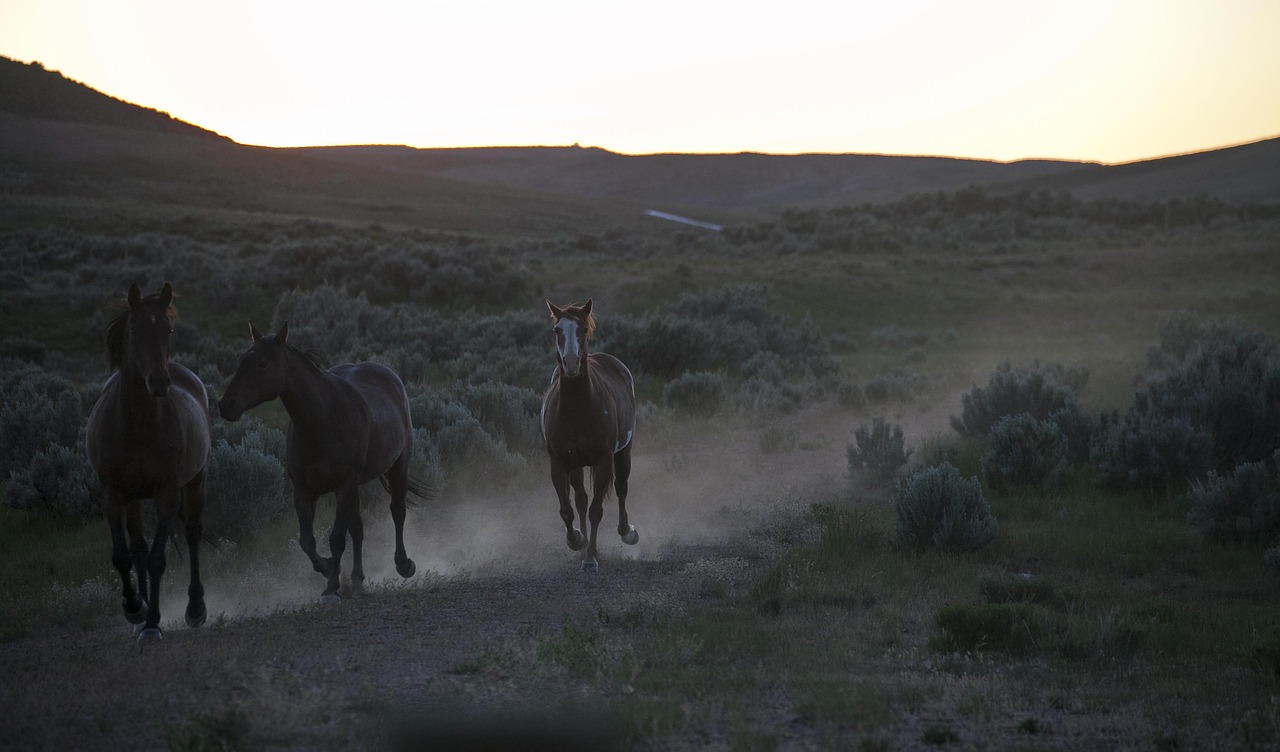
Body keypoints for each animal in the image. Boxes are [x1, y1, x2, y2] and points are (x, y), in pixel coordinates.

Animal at [85, 281, 211, 639]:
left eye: (168, 329)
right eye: (134, 329)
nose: (158, 382)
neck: (136, 425)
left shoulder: (166, 493)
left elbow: (157, 558)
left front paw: (153, 621)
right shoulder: (114, 494)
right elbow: (123, 556)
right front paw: (134, 607)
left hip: (195, 482)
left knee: (192, 533)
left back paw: (195, 608)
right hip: (134, 499)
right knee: (138, 547)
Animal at [217, 323, 432, 598]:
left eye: (262, 363)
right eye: (241, 360)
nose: (226, 405)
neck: (321, 420)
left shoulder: (343, 484)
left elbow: (336, 538)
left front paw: (332, 585)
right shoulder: (304, 489)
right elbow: (307, 541)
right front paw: (328, 567)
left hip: (397, 467)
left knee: (397, 511)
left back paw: (403, 565)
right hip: (355, 488)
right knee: (358, 529)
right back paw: (357, 578)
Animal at [540, 299, 640, 570]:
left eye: (583, 329)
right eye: (557, 330)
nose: (571, 363)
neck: (578, 408)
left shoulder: (603, 459)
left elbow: (597, 510)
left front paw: (591, 558)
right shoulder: (558, 462)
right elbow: (567, 509)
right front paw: (576, 540)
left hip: (623, 453)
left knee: (621, 487)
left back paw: (627, 532)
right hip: (576, 465)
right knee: (581, 499)